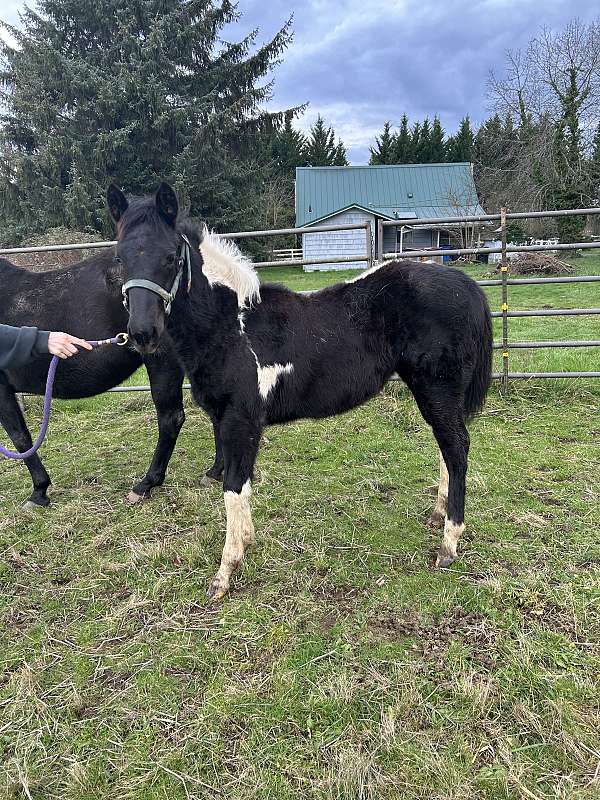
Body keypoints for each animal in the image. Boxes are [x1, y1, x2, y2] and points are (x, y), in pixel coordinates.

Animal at [0, 249, 220, 508]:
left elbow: (20, 438)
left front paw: (39, 491)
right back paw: (215, 472)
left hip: (162, 359)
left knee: (171, 419)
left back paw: (146, 484)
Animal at [108, 182, 493, 601]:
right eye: (119, 258)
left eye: (171, 257)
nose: (143, 333)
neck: (232, 326)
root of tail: (465, 284)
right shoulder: (226, 420)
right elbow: (239, 486)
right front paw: (245, 542)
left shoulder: (241, 420)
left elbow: (233, 487)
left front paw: (225, 574)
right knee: (447, 446)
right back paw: (438, 515)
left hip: (437, 388)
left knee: (457, 447)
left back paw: (448, 545)